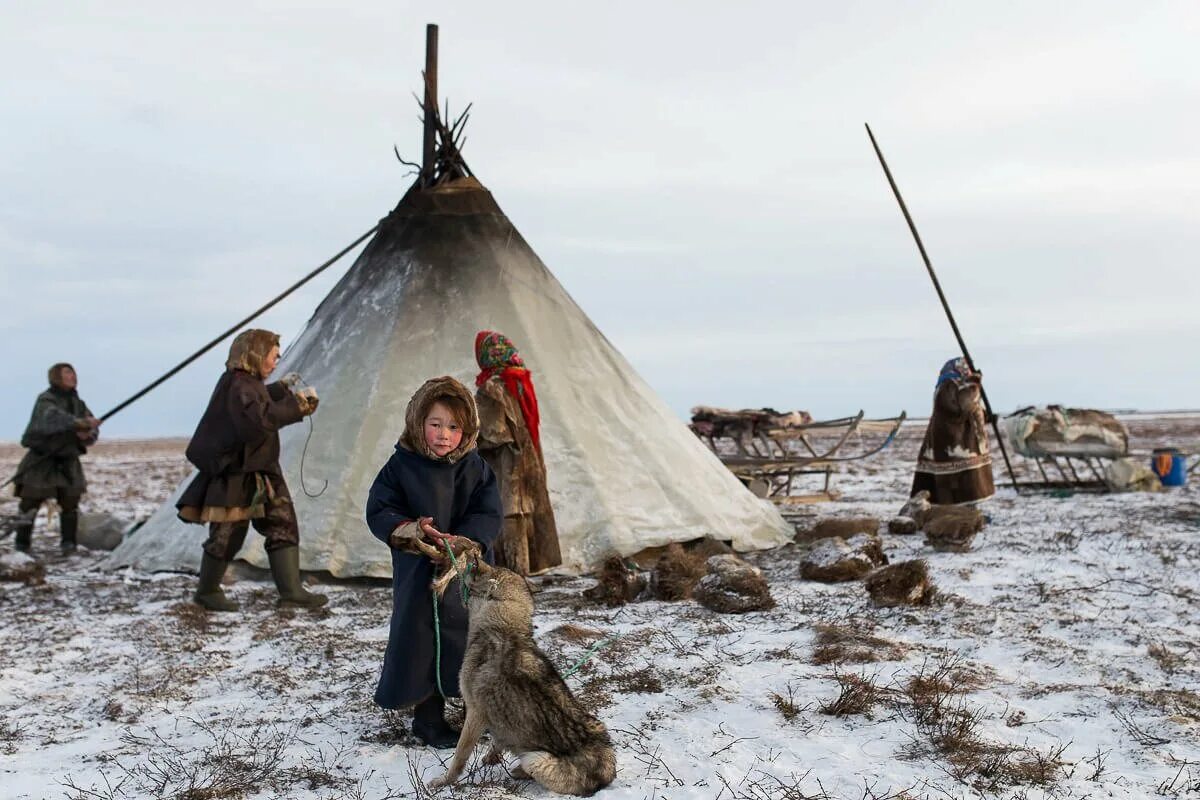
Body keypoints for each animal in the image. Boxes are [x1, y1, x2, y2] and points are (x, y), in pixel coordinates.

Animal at [429, 561, 619, 796]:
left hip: (535, 759)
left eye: (476, 570)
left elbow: (459, 756)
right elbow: (496, 742)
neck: (505, 626)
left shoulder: (475, 712)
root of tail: (606, 775)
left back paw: (518, 771)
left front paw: (444, 782)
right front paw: (491, 758)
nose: (471, 562)